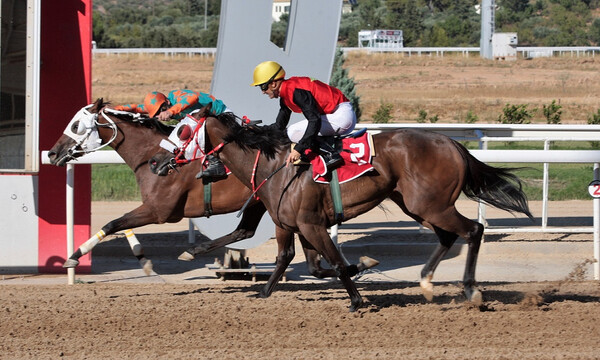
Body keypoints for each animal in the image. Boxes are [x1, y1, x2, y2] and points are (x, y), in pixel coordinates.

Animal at [48, 98, 376, 278]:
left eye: (76, 125)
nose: (52, 153)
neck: (151, 155)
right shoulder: (153, 208)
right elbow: (117, 223)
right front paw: (142, 259)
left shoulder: (159, 211)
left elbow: (113, 223)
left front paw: (74, 257)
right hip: (259, 202)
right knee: (245, 231)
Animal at [151, 113, 536, 312]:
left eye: (182, 129)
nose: (155, 161)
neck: (275, 166)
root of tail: (454, 144)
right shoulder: (293, 224)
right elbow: (300, 262)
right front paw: (263, 293)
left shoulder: (311, 224)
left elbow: (333, 263)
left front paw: (356, 296)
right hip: (418, 205)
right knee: (448, 235)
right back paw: (426, 282)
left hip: (432, 204)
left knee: (473, 230)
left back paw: (472, 291)